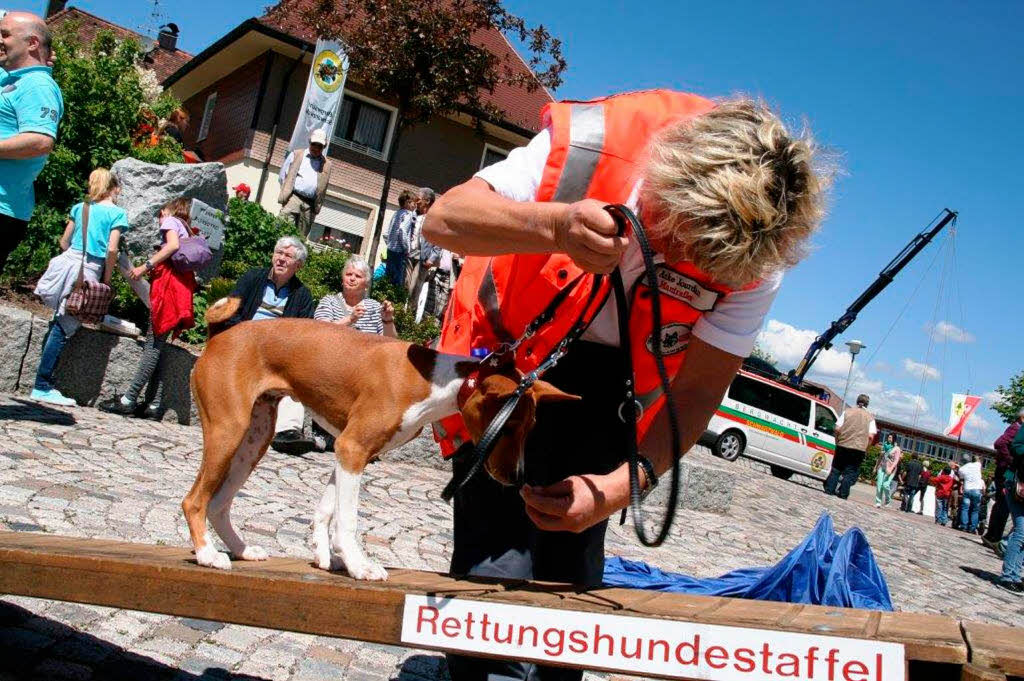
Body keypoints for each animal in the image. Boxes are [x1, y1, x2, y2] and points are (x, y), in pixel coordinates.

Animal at [180, 296, 573, 577]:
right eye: (508, 427)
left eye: (528, 429)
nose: (518, 478)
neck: (434, 381)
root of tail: (218, 335)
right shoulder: (351, 448)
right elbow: (347, 519)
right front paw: (358, 565)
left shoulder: (353, 453)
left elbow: (326, 509)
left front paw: (327, 556)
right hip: (228, 431)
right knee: (195, 501)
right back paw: (207, 554)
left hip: (254, 440)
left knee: (218, 504)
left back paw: (241, 550)